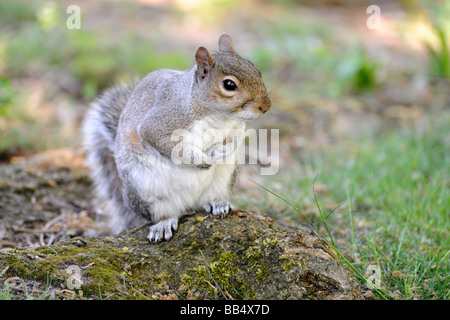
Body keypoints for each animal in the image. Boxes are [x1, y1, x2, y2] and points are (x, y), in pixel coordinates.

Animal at [81, 33, 270, 242]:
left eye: (257, 70)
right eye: (229, 85)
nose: (266, 106)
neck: (218, 116)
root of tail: (188, 204)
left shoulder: (236, 125)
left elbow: (237, 136)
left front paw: (222, 149)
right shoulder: (162, 121)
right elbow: (164, 142)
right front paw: (202, 160)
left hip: (225, 179)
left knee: (205, 201)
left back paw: (217, 203)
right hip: (147, 193)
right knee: (165, 213)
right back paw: (163, 224)